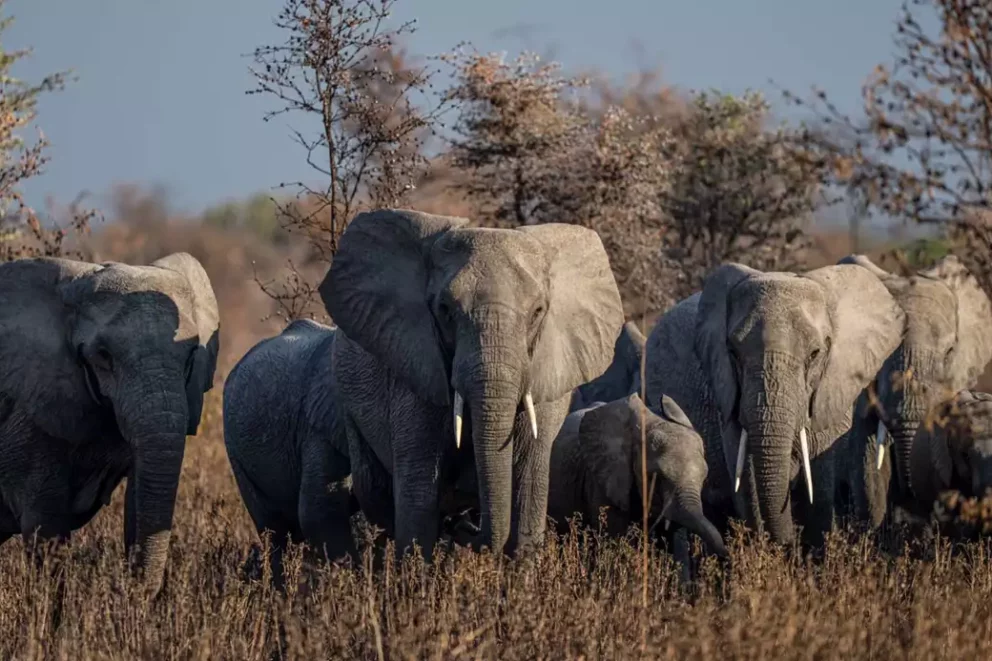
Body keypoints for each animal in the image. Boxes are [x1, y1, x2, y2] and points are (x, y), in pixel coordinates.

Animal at [0, 253, 219, 593]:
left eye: (191, 356)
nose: (132, 593)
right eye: (103, 355)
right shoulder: (32, 413)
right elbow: (45, 527)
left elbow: (139, 500)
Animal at [319, 209, 625, 559]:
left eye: (537, 312)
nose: (465, 526)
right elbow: (418, 495)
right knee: (377, 495)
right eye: (445, 311)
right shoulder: (415, 370)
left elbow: (528, 488)